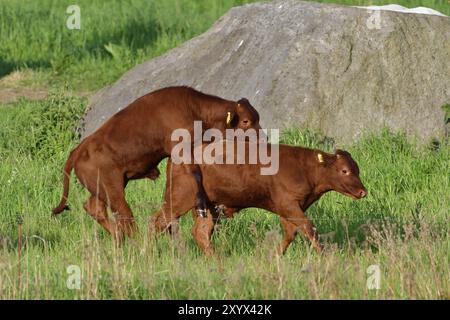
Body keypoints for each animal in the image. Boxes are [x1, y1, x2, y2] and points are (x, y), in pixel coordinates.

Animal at [52, 86, 262, 241]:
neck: (194, 108)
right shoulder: (180, 150)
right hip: (113, 191)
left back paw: (120, 240)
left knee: (95, 207)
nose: (262, 139)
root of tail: (78, 149)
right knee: (124, 215)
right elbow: (194, 177)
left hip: (109, 187)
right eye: (245, 121)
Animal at [152, 142, 370, 255]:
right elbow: (309, 228)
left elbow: (291, 232)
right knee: (158, 221)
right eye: (344, 170)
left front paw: (276, 255)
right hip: (179, 197)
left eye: (357, 169)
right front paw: (323, 254)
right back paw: (148, 252)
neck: (305, 168)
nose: (363, 192)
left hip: (208, 206)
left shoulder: (289, 209)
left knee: (201, 232)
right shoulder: (289, 205)